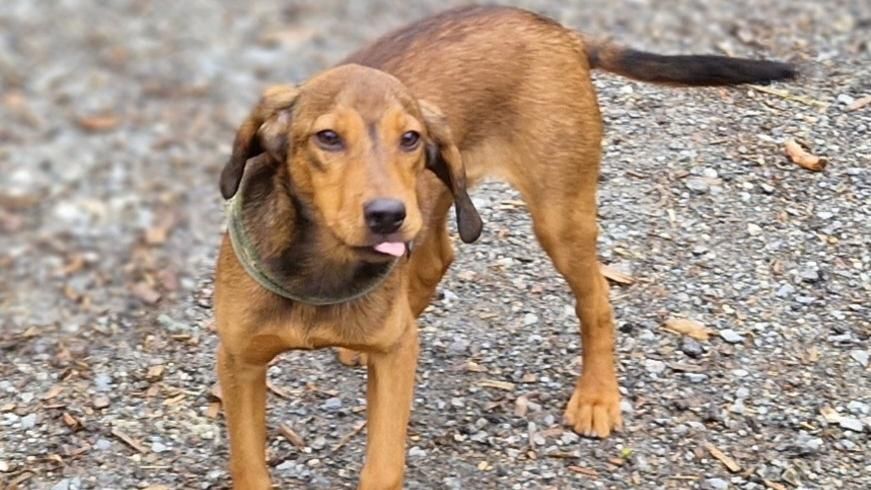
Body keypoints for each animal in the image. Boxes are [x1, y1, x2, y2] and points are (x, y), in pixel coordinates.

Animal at [213, 5, 794, 489]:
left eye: (410, 139)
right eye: (327, 138)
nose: (388, 216)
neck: (320, 268)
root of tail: (559, 31)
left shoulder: (395, 364)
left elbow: (383, 463)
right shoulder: (239, 362)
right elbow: (249, 466)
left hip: (556, 214)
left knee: (596, 300)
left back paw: (597, 397)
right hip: (446, 197)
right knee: (436, 262)